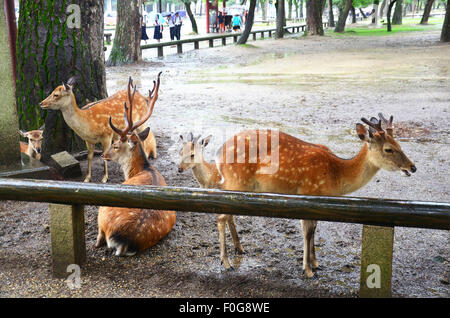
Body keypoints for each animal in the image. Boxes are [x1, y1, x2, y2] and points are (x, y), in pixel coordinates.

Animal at [95, 72, 176, 256]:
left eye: (116, 145)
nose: (103, 155)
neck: (140, 170)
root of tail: (124, 240)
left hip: (103, 212)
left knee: (99, 237)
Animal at [178, 113, 416, 278]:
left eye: (400, 144)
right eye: (388, 149)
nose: (412, 167)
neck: (337, 173)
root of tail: (218, 153)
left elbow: (314, 230)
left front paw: (316, 262)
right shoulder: (309, 193)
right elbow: (307, 232)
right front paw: (308, 270)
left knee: (226, 215)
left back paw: (238, 250)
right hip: (236, 181)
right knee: (221, 216)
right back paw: (226, 263)